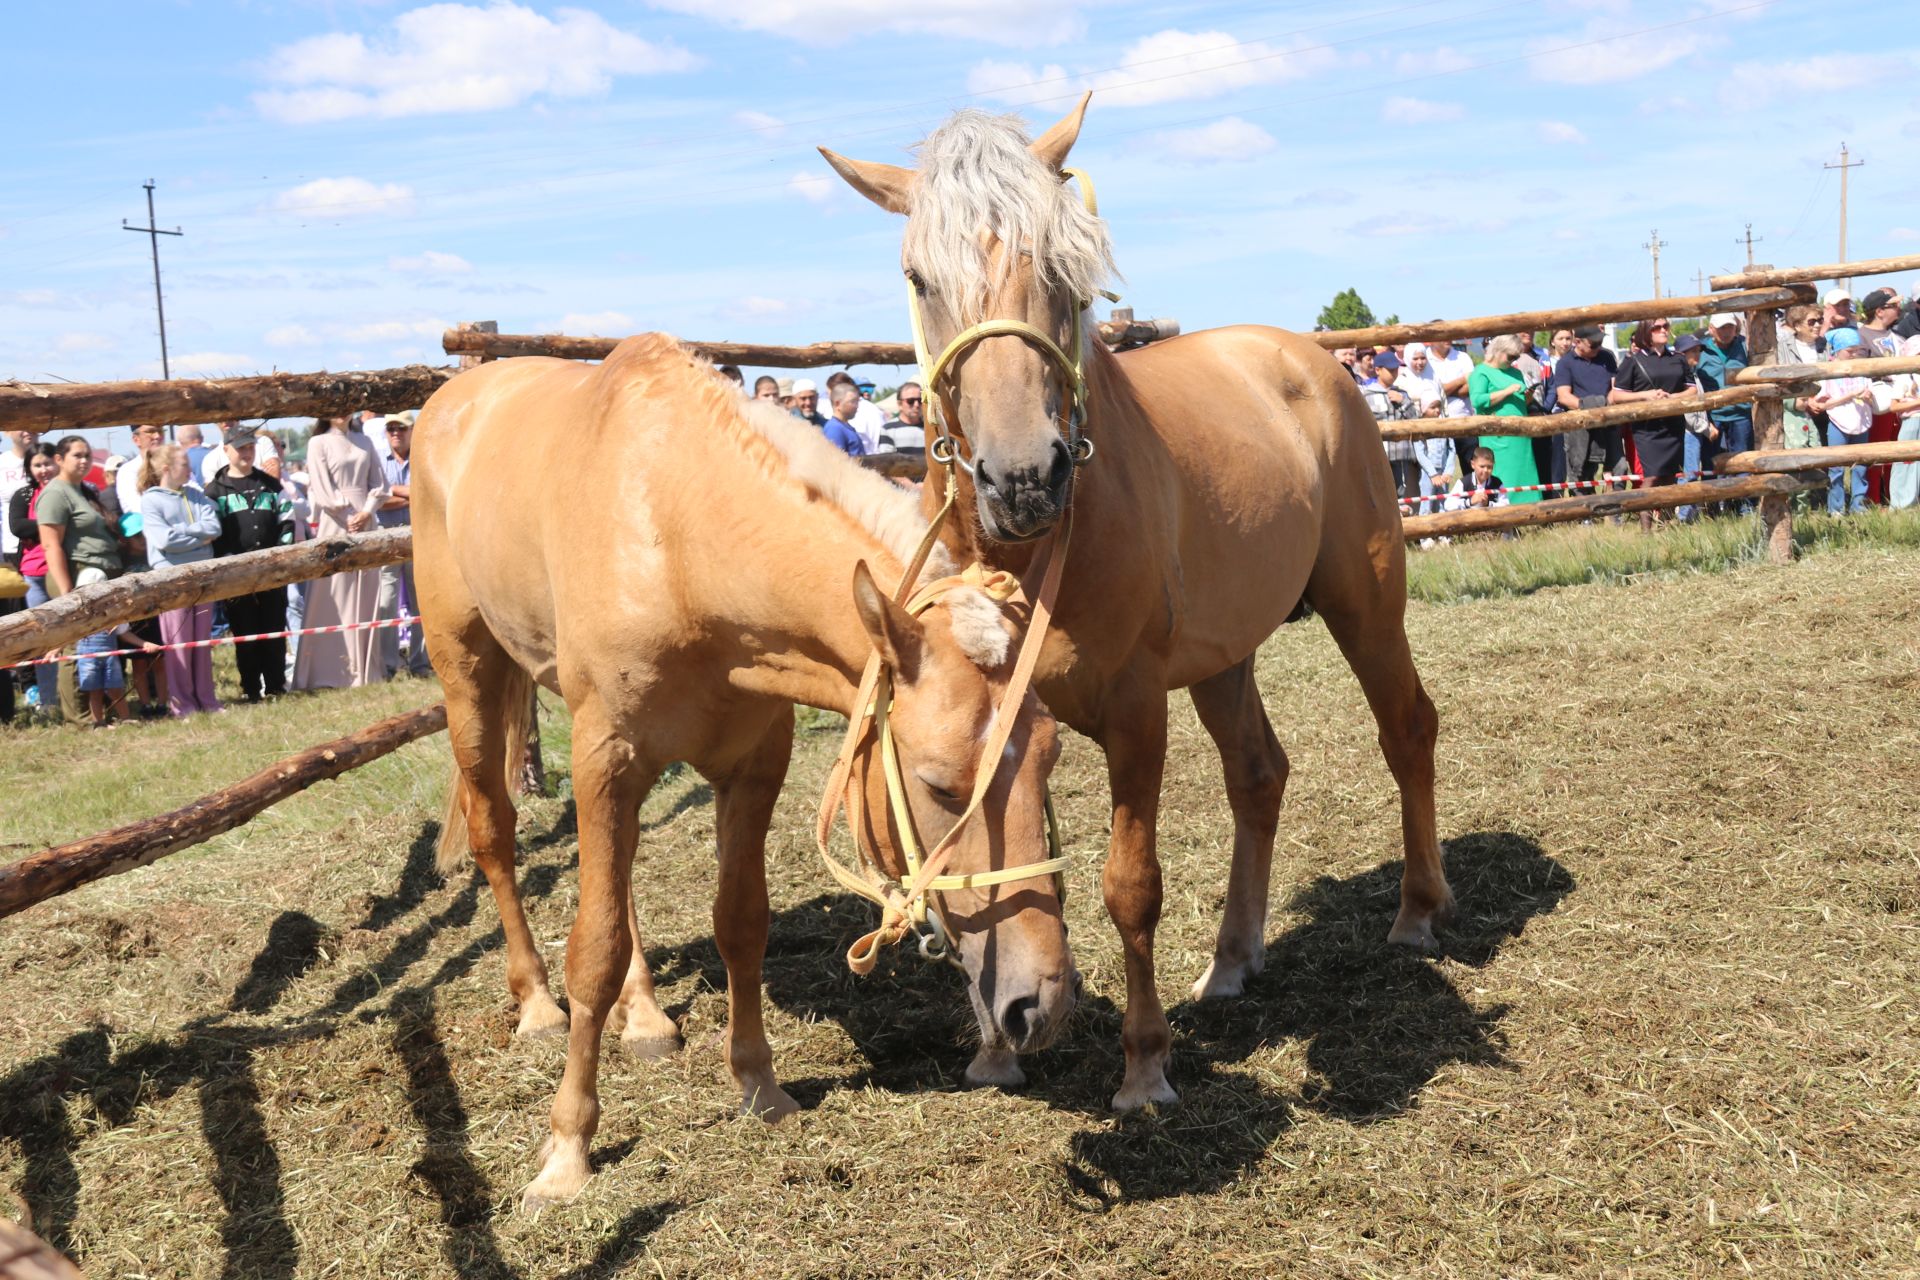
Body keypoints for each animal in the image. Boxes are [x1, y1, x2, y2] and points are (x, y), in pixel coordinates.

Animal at [410, 333, 1082, 1212]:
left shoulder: (751, 765)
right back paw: (536, 1007)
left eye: (1050, 757)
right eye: (941, 787)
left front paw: (759, 1085)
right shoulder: (605, 758)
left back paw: (645, 1017)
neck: (676, 536)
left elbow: (740, 924)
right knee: (496, 836)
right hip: (471, 682)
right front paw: (567, 1152)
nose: (1043, 1004)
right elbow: (593, 950)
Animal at [814, 94, 1451, 1113]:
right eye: (918, 275)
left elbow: (1128, 885)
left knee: (1407, 728)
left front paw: (1145, 1065)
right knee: (1258, 774)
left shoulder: (1136, 709)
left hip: (1367, 605)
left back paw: (1418, 912)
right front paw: (997, 1046)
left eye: (1063, 266)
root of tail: (1308, 359)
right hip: (1227, 656)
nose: (1023, 477)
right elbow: (998, 864)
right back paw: (1231, 962)